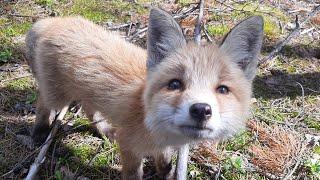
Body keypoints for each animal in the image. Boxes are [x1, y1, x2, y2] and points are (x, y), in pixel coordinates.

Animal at [26, 7, 264, 179]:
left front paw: (165, 173)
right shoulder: (129, 146)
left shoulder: (162, 146)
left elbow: (164, 162)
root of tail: (57, 20)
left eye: (222, 89)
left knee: (89, 109)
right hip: (58, 95)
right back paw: (40, 131)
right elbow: (133, 173)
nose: (201, 110)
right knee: (43, 103)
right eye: (175, 84)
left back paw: (104, 130)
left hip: (86, 93)